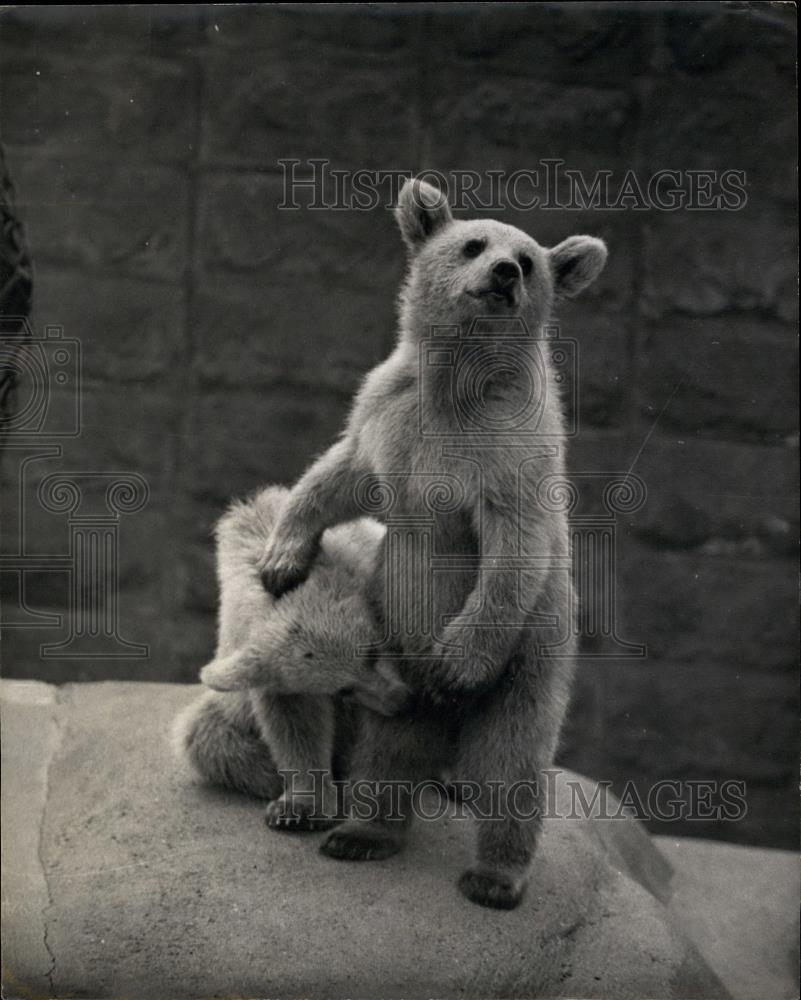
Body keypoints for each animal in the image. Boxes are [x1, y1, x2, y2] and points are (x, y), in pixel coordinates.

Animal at [173, 485, 410, 831]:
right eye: (343, 689)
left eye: (371, 651)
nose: (398, 700)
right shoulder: (268, 666)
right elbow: (294, 722)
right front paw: (298, 808)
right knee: (204, 734)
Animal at [257, 177, 607, 908]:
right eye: (472, 244)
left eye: (527, 260)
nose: (503, 275)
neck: (458, 383)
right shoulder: (391, 413)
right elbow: (340, 472)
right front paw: (281, 560)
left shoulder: (507, 451)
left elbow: (511, 544)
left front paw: (457, 661)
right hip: (395, 649)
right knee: (393, 744)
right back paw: (361, 832)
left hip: (532, 654)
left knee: (510, 759)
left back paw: (494, 875)